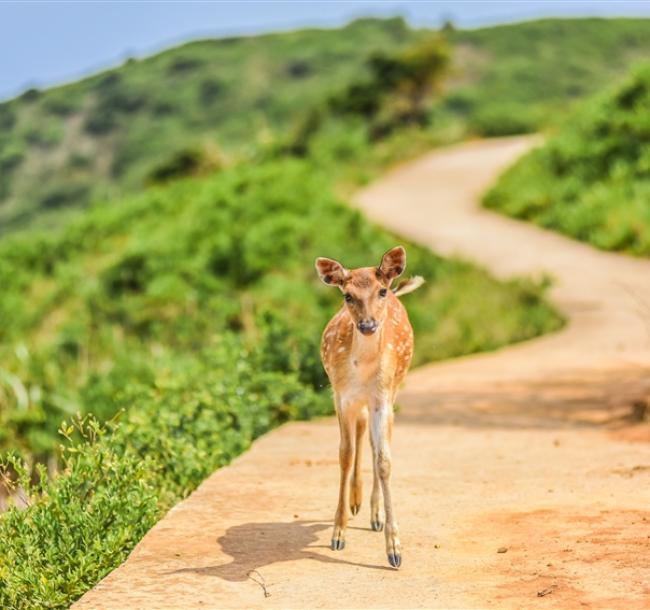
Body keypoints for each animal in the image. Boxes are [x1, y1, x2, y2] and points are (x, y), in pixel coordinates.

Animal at [316, 245, 426, 568]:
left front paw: (395, 550)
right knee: (361, 433)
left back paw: (374, 515)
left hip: (394, 390)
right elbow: (344, 455)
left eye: (381, 291)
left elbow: (384, 461)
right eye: (347, 295)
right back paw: (356, 502)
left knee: (376, 444)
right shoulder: (341, 396)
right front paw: (338, 535)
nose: (367, 325)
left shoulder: (382, 397)